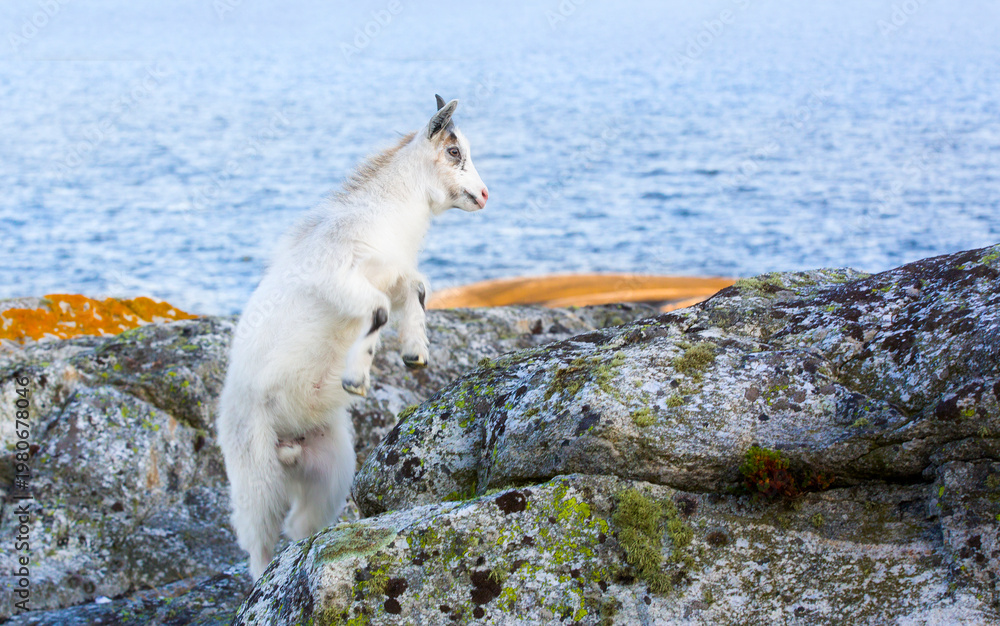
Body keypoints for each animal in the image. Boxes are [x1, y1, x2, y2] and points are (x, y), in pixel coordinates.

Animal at [217, 95, 488, 579]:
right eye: (454, 150)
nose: (484, 194)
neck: (382, 215)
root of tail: (289, 446)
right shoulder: (337, 275)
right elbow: (378, 309)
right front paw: (355, 379)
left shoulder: (396, 272)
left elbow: (417, 289)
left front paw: (415, 352)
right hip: (254, 469)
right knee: (257, 540)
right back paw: (262, 579)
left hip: (330, 471)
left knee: (300, 523)